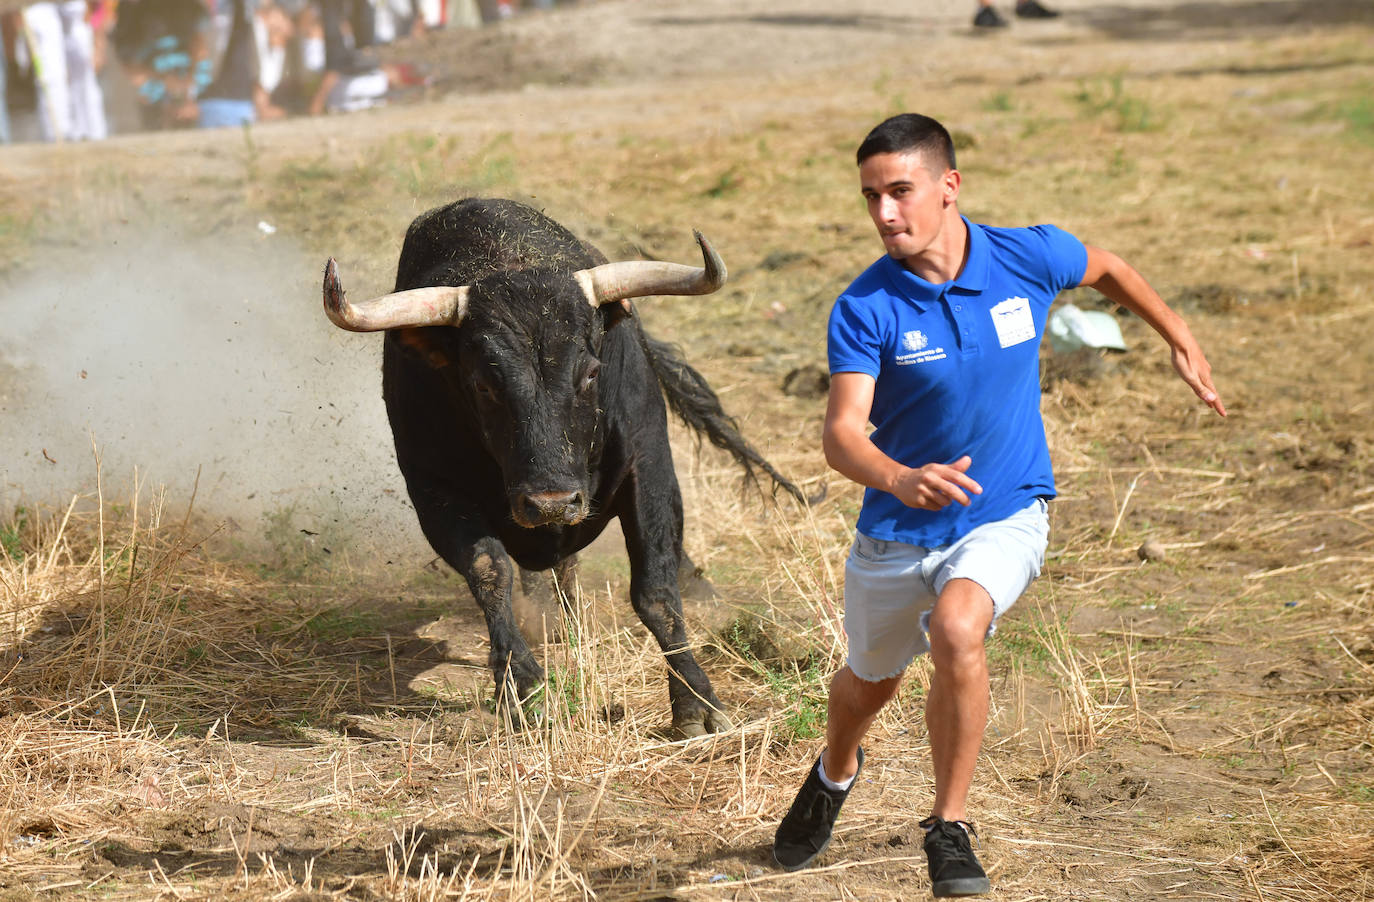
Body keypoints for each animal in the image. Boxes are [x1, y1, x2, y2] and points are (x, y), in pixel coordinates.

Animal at [325, 195, 807, 731]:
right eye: (482, 384)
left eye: (591, 372)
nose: (552, 502)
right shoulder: (432, 489)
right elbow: (490, 571)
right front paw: (524, 687)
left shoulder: (649, 465)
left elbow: (656, 591)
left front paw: (696, 704)